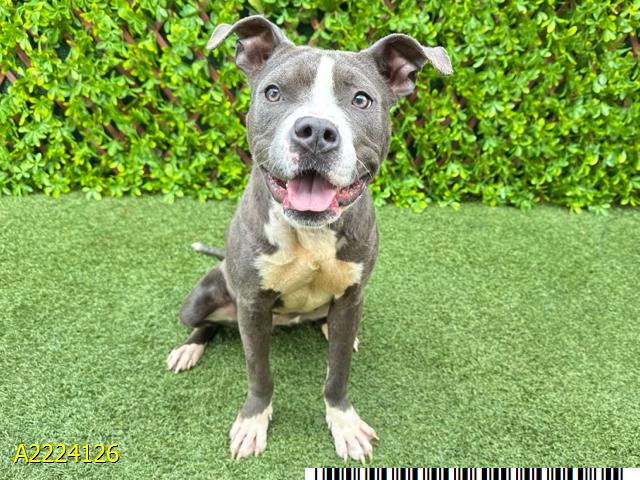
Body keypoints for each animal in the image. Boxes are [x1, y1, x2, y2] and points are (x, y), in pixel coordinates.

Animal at [166, 15, 452, 462]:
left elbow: (338, 374)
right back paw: (189, 347)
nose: (315, 131)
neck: (308, 232)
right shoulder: (251, 305)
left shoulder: (351, 298)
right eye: (273, 92)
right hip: (201, 299)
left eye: (361, 100)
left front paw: (343, 423)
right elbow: (259, 373)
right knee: (206, 324)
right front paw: (254, 420)